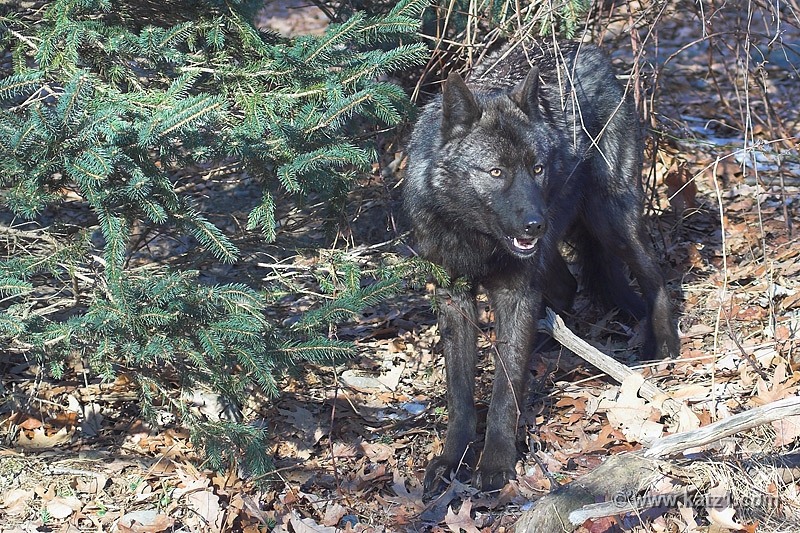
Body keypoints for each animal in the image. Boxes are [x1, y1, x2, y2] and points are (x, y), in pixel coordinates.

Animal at [403, 40, 680, 493]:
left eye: (536, 168)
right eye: (496, 172)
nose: (537, 223)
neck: (475, 238)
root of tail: (590, 50)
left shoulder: (515, 292)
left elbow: (505, 391)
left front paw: (496, 464)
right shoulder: (454, 296)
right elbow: (460, 394)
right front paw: (451, 459)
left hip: (610, 221)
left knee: (653, 275)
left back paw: (664, 345)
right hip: (558, 252)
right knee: (568, 287)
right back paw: (549, 344)